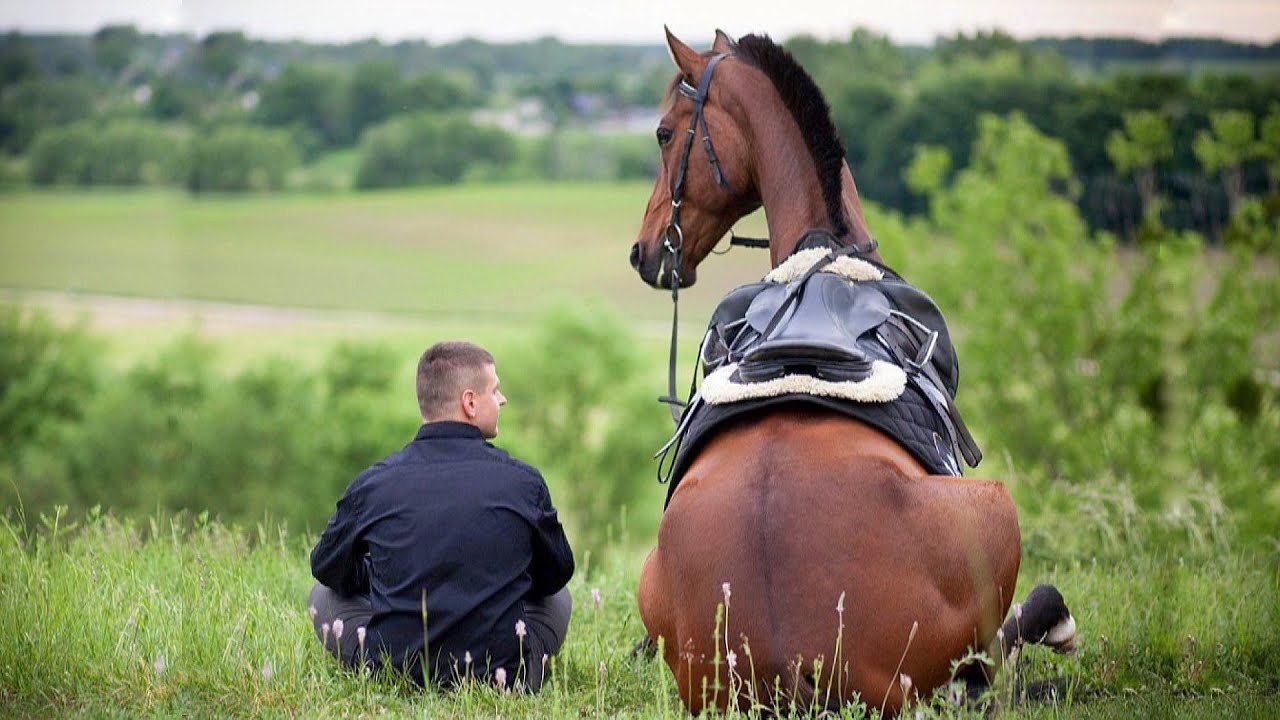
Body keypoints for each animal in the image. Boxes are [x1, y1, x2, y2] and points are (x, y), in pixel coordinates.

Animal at [629, 29, 1070, 712]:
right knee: (995, 657)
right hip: (994, 512)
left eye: (663, 133)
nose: (645, 251)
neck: (824, 251)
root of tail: (789, 662)